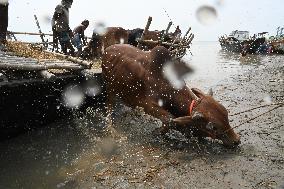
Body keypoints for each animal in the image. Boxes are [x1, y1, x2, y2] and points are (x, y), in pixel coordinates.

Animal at [102, 44, 240, 148]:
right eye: (213, 127)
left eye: (226, 115)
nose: (236, 140)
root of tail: (108, 49)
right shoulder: (147, 104)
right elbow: (169, 119)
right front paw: (158, 132)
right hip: (110, 87)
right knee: (109, 106)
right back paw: (112, 128)